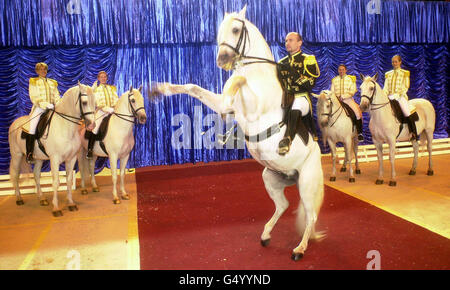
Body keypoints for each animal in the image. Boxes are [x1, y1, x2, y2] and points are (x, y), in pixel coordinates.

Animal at [9, 82, 96, 216]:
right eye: (85, 102)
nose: (92, 125)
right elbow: (56, 182)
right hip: (16, 156)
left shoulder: (71, 159)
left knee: (36, 175)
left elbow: (69, 180)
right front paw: (56, 208)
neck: (65, 127)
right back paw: (19, 198)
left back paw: (42, 199)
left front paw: (71, 203)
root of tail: (15, 124)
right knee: (15, 175)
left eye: (95, 102)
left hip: (38, 159)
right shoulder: (54, 159)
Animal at [153, 5, 326, 260]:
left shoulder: (254, 108)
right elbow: (195, 88)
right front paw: (161, 89)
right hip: (272, 178)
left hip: (306, 182)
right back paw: (265, 235)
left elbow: (238, 79)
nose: (222, 60)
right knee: (283, 206)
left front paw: (229, 90)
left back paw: (300, 249)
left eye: (236, 29)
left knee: (310, 215)